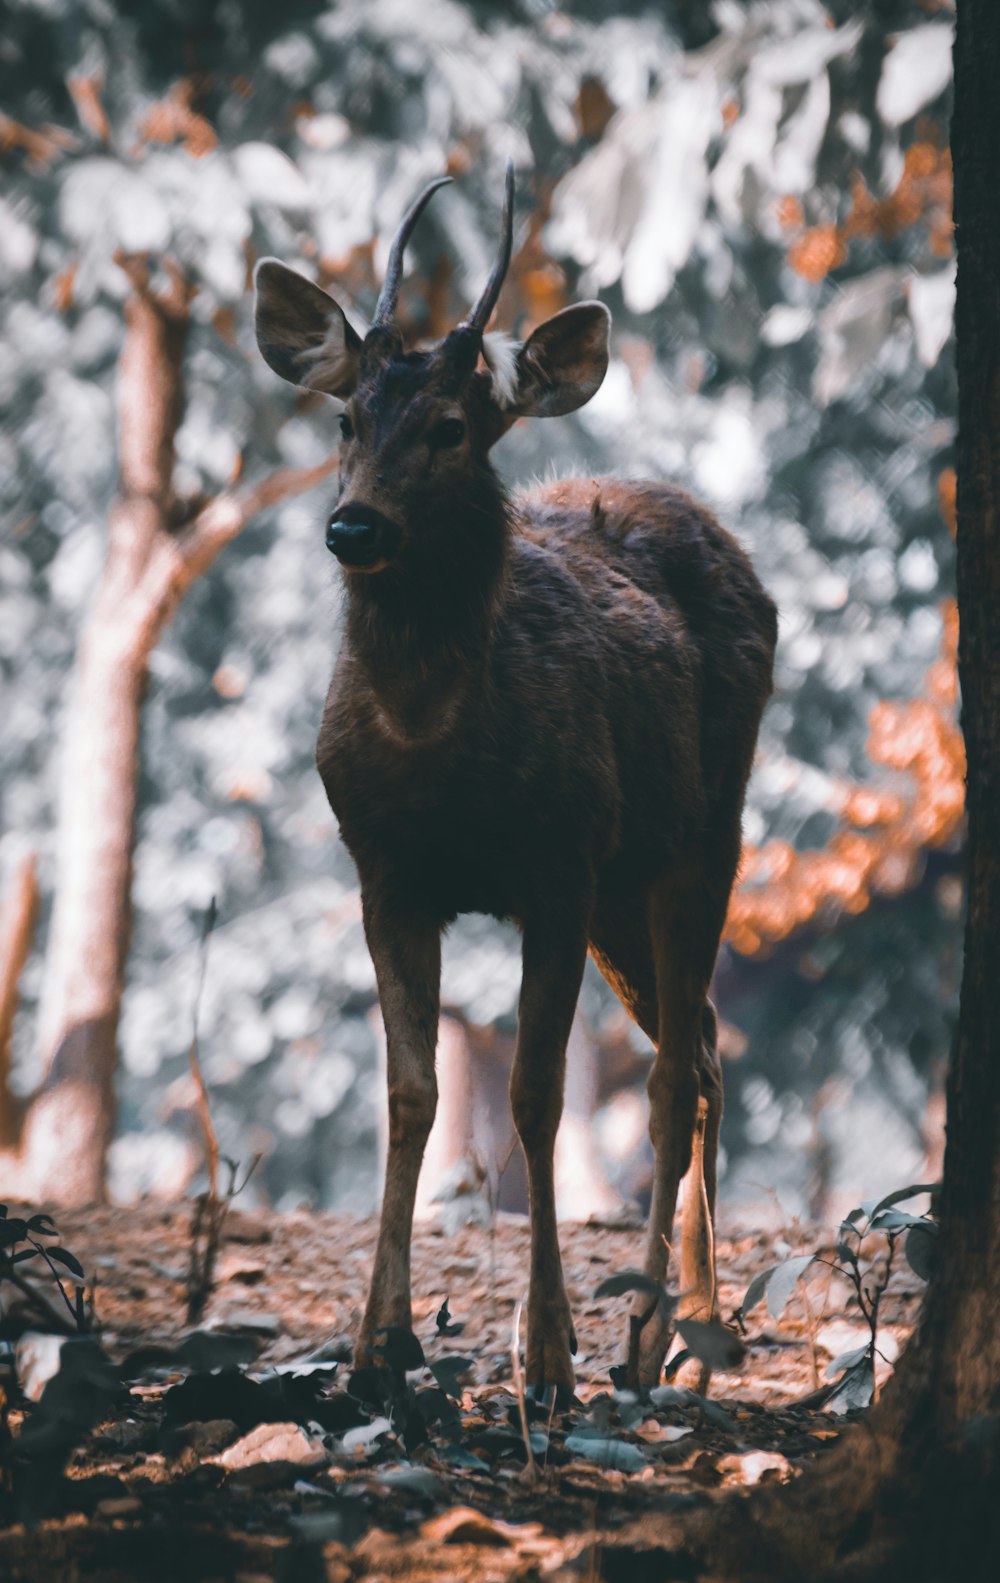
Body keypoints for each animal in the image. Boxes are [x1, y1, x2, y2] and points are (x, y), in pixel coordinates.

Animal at [251, 167, 781, 1393]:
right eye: (346, 421)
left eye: (452, 429)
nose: (352, 524)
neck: (437, 746)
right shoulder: (385, 871)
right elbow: (411, 1094)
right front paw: (377, 1344)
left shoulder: (556, 861)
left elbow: (536, 1093)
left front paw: (542, 1350)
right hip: (627, 881)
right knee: (702, 1047)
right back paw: (691, 1327)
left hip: (702, 833)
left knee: (673, 1071)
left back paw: (652, 1340)